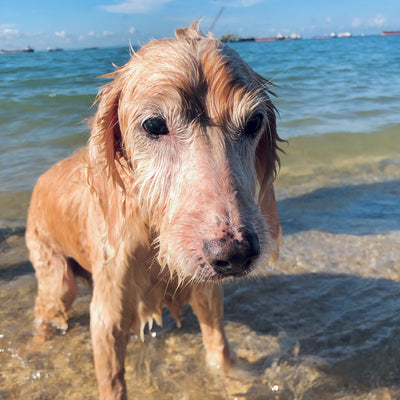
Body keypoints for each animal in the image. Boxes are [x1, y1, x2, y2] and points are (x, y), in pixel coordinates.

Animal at [25, 21, 282, 400]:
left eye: (253, 122)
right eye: (153, 125)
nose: (235, 254)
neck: (153, 234)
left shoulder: (205, 289)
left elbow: (218, 345)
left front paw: (232, 377)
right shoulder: (108, 313)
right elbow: (113, 381)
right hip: (56, 277)